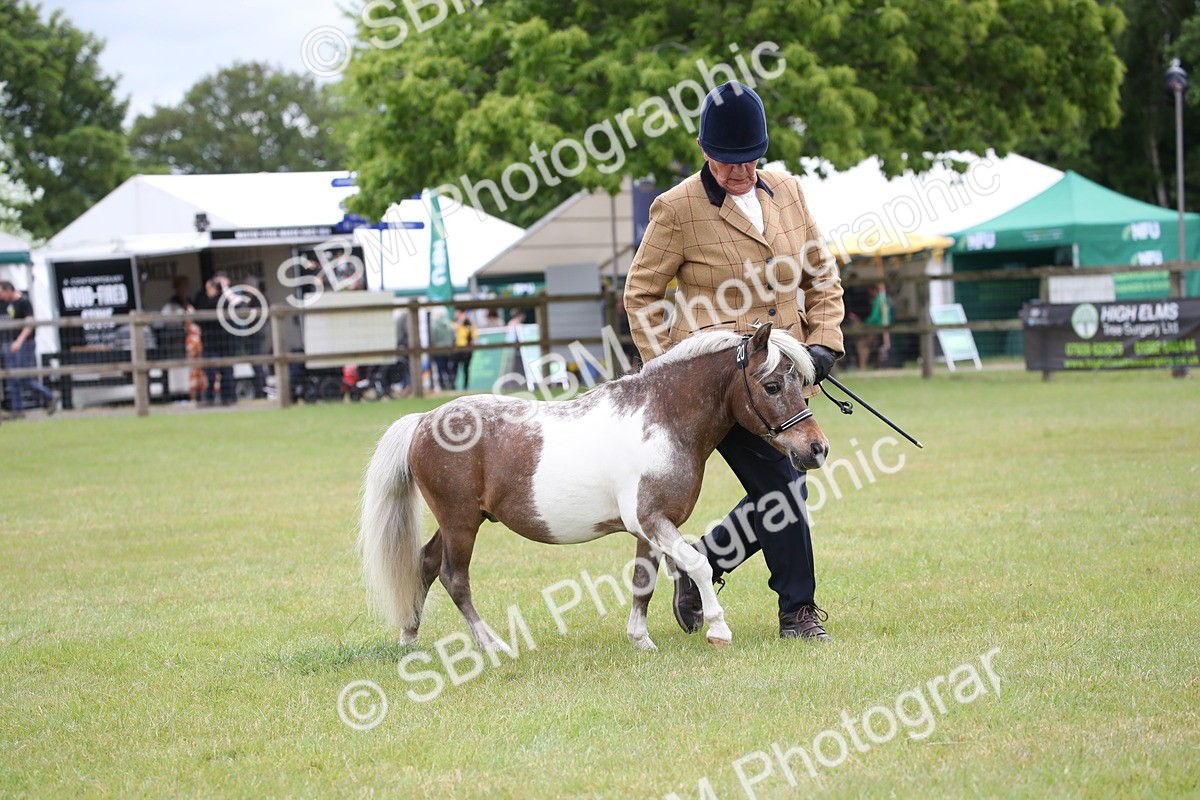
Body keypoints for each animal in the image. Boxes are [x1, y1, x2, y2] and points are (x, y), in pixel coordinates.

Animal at [358, 322, 829, 652]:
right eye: (772, 385)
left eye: (802, 383)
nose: (816, 448)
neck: (661, 419)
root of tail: (424, 420)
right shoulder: (652, 520)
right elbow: (697, 564)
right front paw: (718, 630)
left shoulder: (650, 528)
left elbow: (644, 580)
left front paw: (641, 639)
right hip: (460, 523)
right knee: (454, 578)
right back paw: (492, 645)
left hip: (461, 521)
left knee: (424, 564)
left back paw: (409, 638)